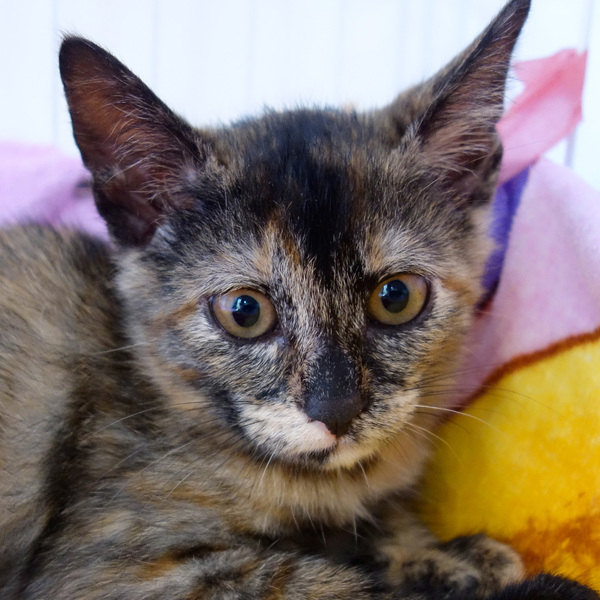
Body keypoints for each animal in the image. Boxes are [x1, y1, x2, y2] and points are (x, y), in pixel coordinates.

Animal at [0, 0, 596, 598]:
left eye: (397, 297)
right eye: (245, 311)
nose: (338, 410)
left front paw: (440, 556)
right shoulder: (109, 566)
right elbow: (335, 583)